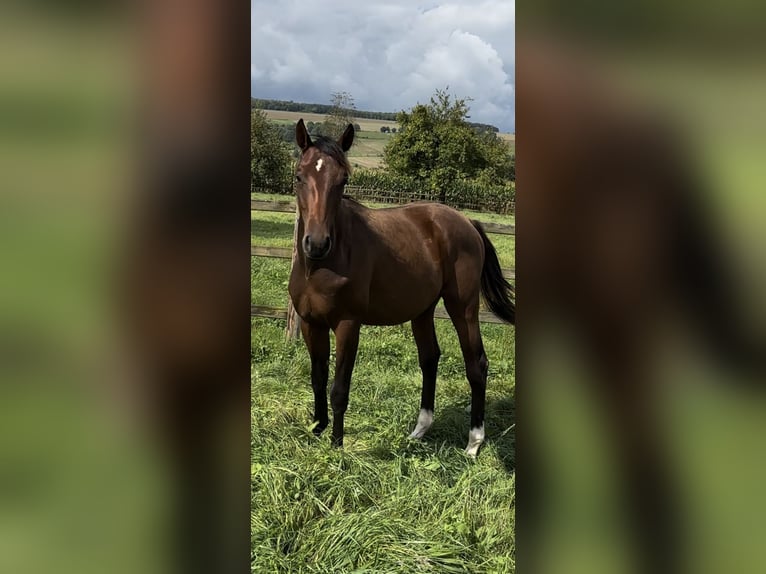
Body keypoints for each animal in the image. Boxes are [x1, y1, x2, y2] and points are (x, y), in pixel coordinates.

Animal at [288, 119, 516, 456]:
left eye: (343, 180)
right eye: (299, 176)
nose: (316, 244)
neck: (320, 266)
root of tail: (467, 222)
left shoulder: (347, 325)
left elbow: (339, 387)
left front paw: (337, 444)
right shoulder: (310, 323)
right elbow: (317, 378)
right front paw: (317, 429)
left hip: (462, 306)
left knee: (476, 364)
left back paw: (474, 442)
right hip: (422, 310)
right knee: (430, 358)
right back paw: (419, 430)